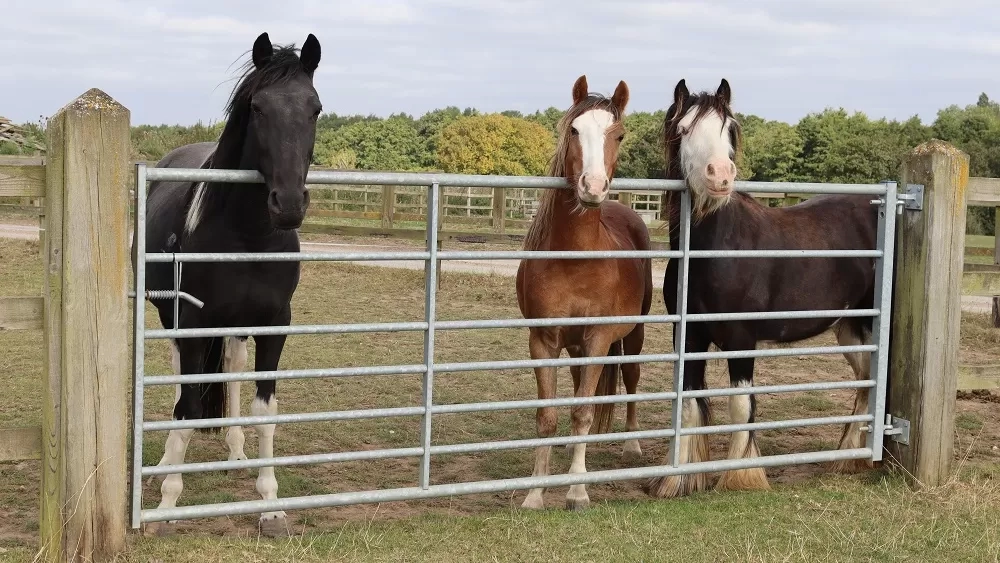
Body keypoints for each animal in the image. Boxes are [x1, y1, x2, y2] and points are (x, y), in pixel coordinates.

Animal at [138, 32, 320, 536]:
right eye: (257, 108)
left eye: (315, 108)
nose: (289, 204)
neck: (248, 236)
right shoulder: (194, 322)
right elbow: (188, 409)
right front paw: (167, 506)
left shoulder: (275, 324)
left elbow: (265, 412)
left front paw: (271, 505)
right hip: (171, 317)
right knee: (181, 381)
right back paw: (164, 464)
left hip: (237, 327)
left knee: (233, 369)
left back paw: (236, 452)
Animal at [516, 75, 656, 512]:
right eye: (574, 131)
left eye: (619, 134)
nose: (593, 187)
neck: (577, 257)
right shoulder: (543, 340)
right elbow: (547, 417)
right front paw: (535, 493)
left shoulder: (598, 337)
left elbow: (582, 411)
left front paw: (577, 491)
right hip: (574, 345)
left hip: (633, 333)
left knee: (630, 377)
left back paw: (631, 445)